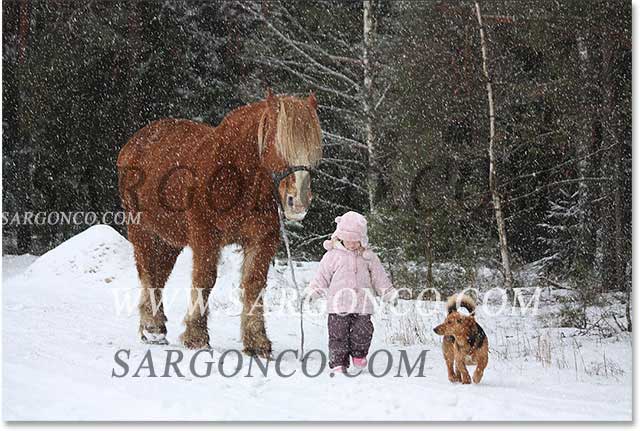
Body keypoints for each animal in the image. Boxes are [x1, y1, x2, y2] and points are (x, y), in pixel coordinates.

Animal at [117, 90, 322, 358]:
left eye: (314, 151)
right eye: (278, 144)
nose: (297, 202)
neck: (235, 175)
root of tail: (134, 143)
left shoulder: (262, 240)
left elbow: (254, 283)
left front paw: (256, 341)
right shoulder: (206, 236)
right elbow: (205, 280)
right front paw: (196, 335)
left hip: (169, 239)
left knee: (160, 274)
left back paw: (156, 326)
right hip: (142, 230)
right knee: (148, 273)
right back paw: (152, 326)